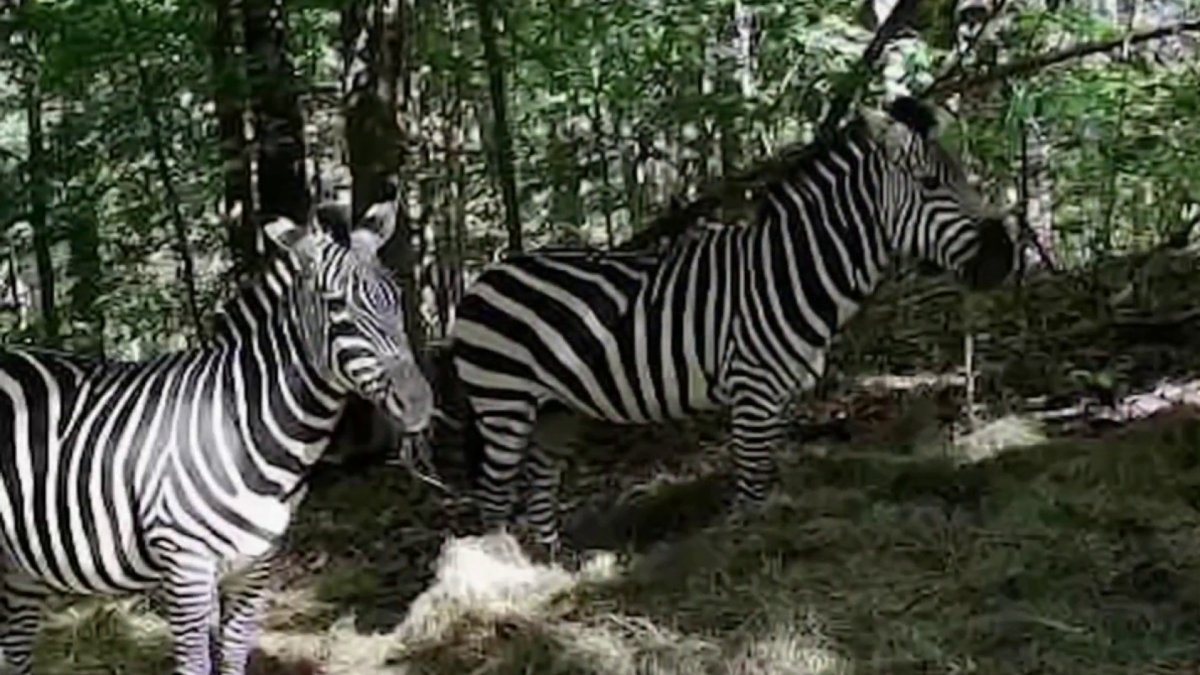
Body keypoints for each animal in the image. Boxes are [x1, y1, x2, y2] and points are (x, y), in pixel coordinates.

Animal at [0, 201, 433, 674]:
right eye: (336, 305)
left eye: (395, 297)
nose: (419, 403)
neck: (245, 427)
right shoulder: (185, 564)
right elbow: (195, 663)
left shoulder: (256, 564)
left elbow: (235, 652)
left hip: (19, 566)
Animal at [440, 96, 1017, 554]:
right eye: (930, 183)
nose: (1003, 259)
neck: (792, 272)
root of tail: (485, 276)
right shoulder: (753, 389)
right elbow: (752, 483)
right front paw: (750, 553)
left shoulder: (780, 394)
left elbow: (769, 474)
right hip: (503, 400)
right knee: (494, 497)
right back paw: (502, 578)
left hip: (556, 410)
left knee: (539, 487)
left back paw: (552, 569)